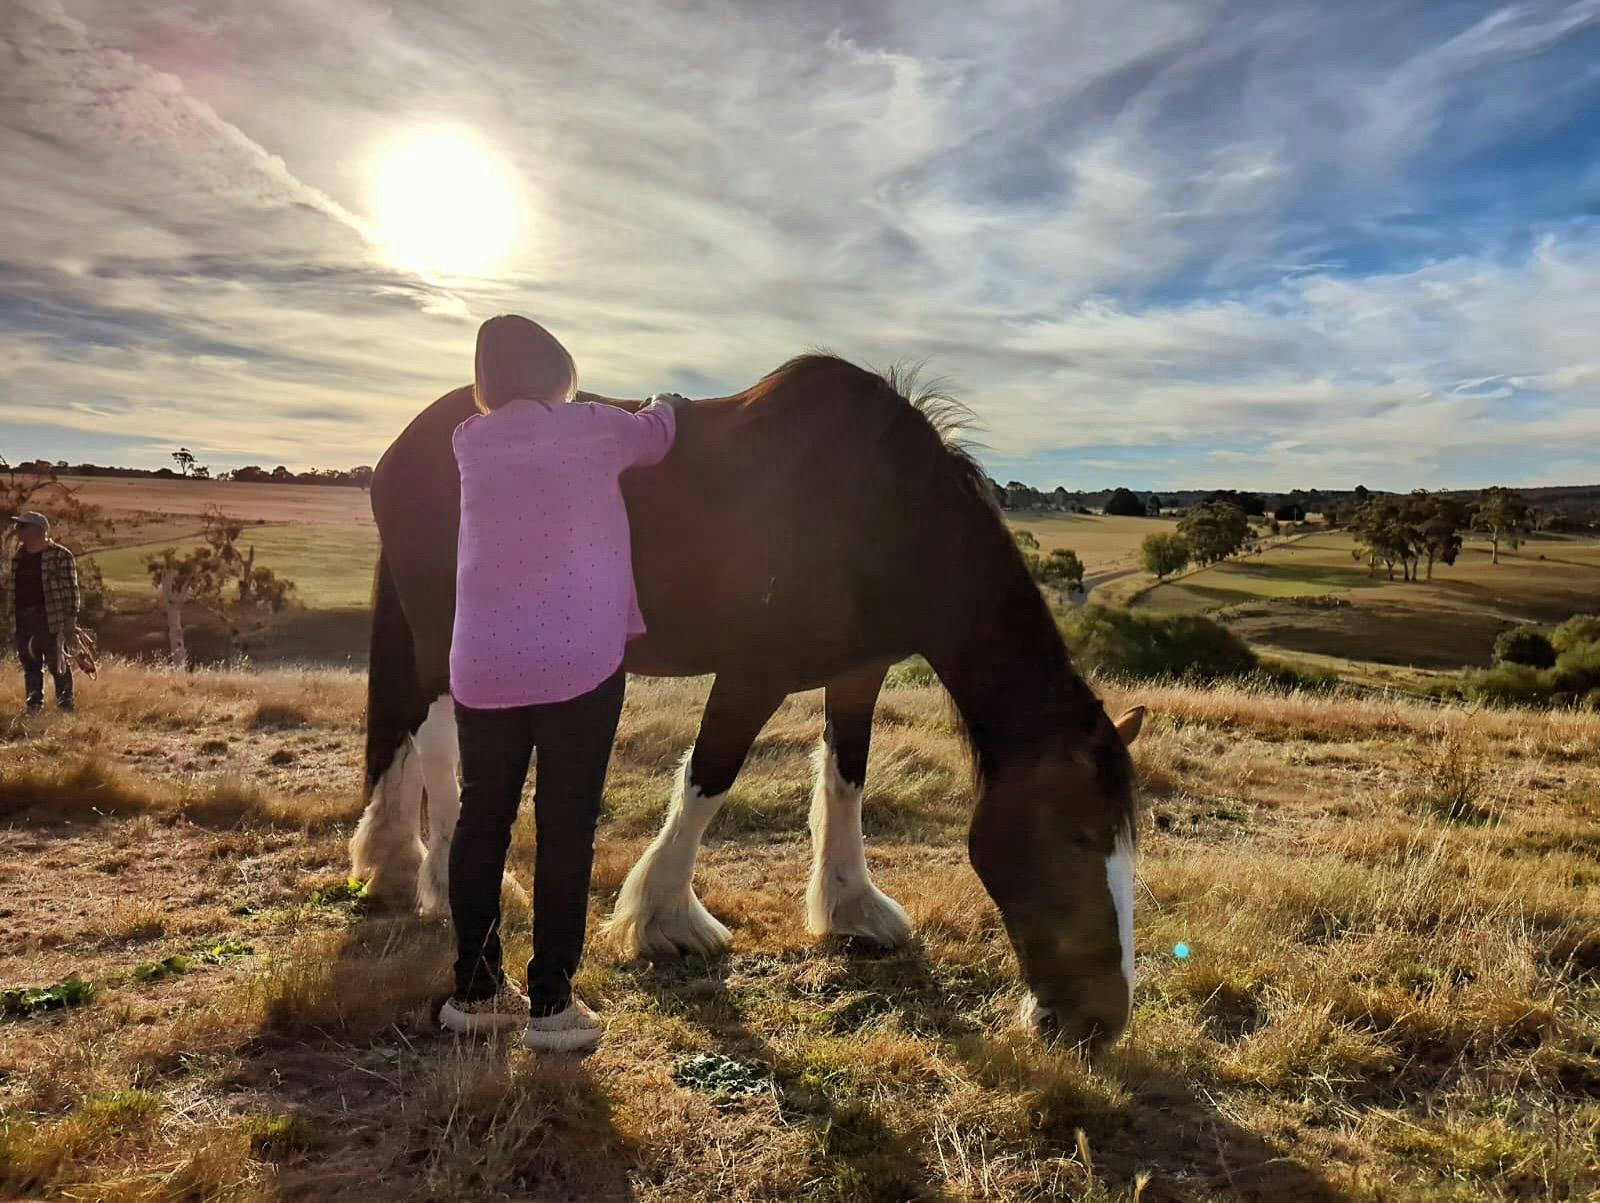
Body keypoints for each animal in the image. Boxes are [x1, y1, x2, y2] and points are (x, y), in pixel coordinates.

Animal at [352, 354, 1145, 1049]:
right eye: (1078, 835)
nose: (1102, 1023)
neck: (880, 511)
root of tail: (406, 443)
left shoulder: (858, 673)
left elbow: (847, 777)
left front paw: (852, 905)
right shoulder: (752, 675)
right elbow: (708, 780)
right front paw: (665, 918)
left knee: (407, 738)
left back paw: (393, 865)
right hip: (445, 637)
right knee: (437, 741)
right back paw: (444, 875)